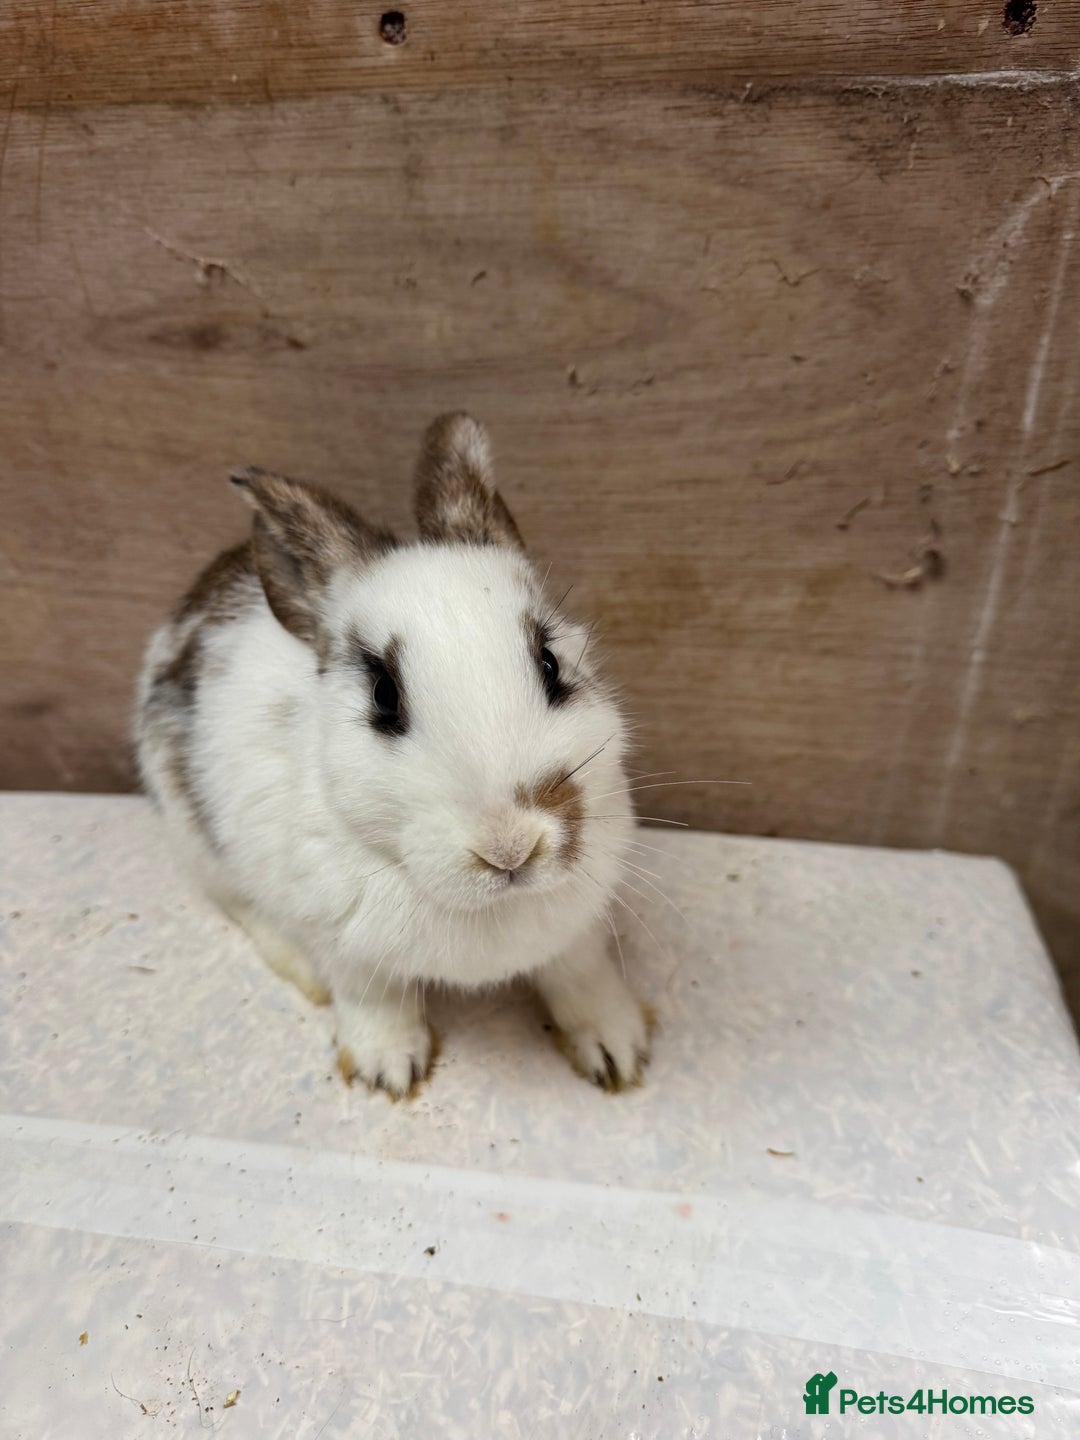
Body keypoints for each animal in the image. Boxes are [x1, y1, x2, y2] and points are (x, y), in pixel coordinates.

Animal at [134, 413, 650, 1097]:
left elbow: (583, 978)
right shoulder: (348, 950)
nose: (510, 846)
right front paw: (389, 1070)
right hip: (193, 833)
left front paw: (618, 1051)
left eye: (550, 664)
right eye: (384, 694)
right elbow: (373, 1003)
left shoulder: (579, 932)